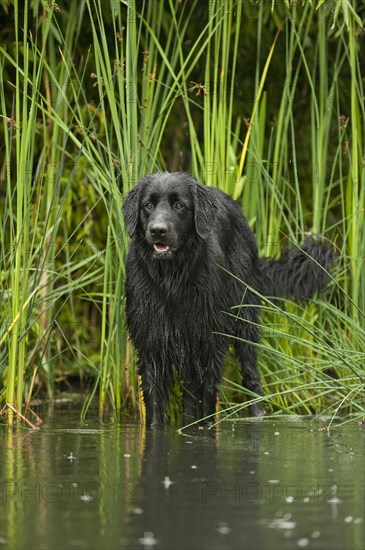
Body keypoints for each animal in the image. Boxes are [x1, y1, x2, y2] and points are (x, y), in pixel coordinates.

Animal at [121, 172, 332, 426]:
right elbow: (154, 407)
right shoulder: (151, 345)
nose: (157, 230)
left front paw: (207, 427)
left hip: (244, 318)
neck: (172, 280)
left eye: (179, 205)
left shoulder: (210, 344)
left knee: (251, 377)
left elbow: (208, 400)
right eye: (148, 206)